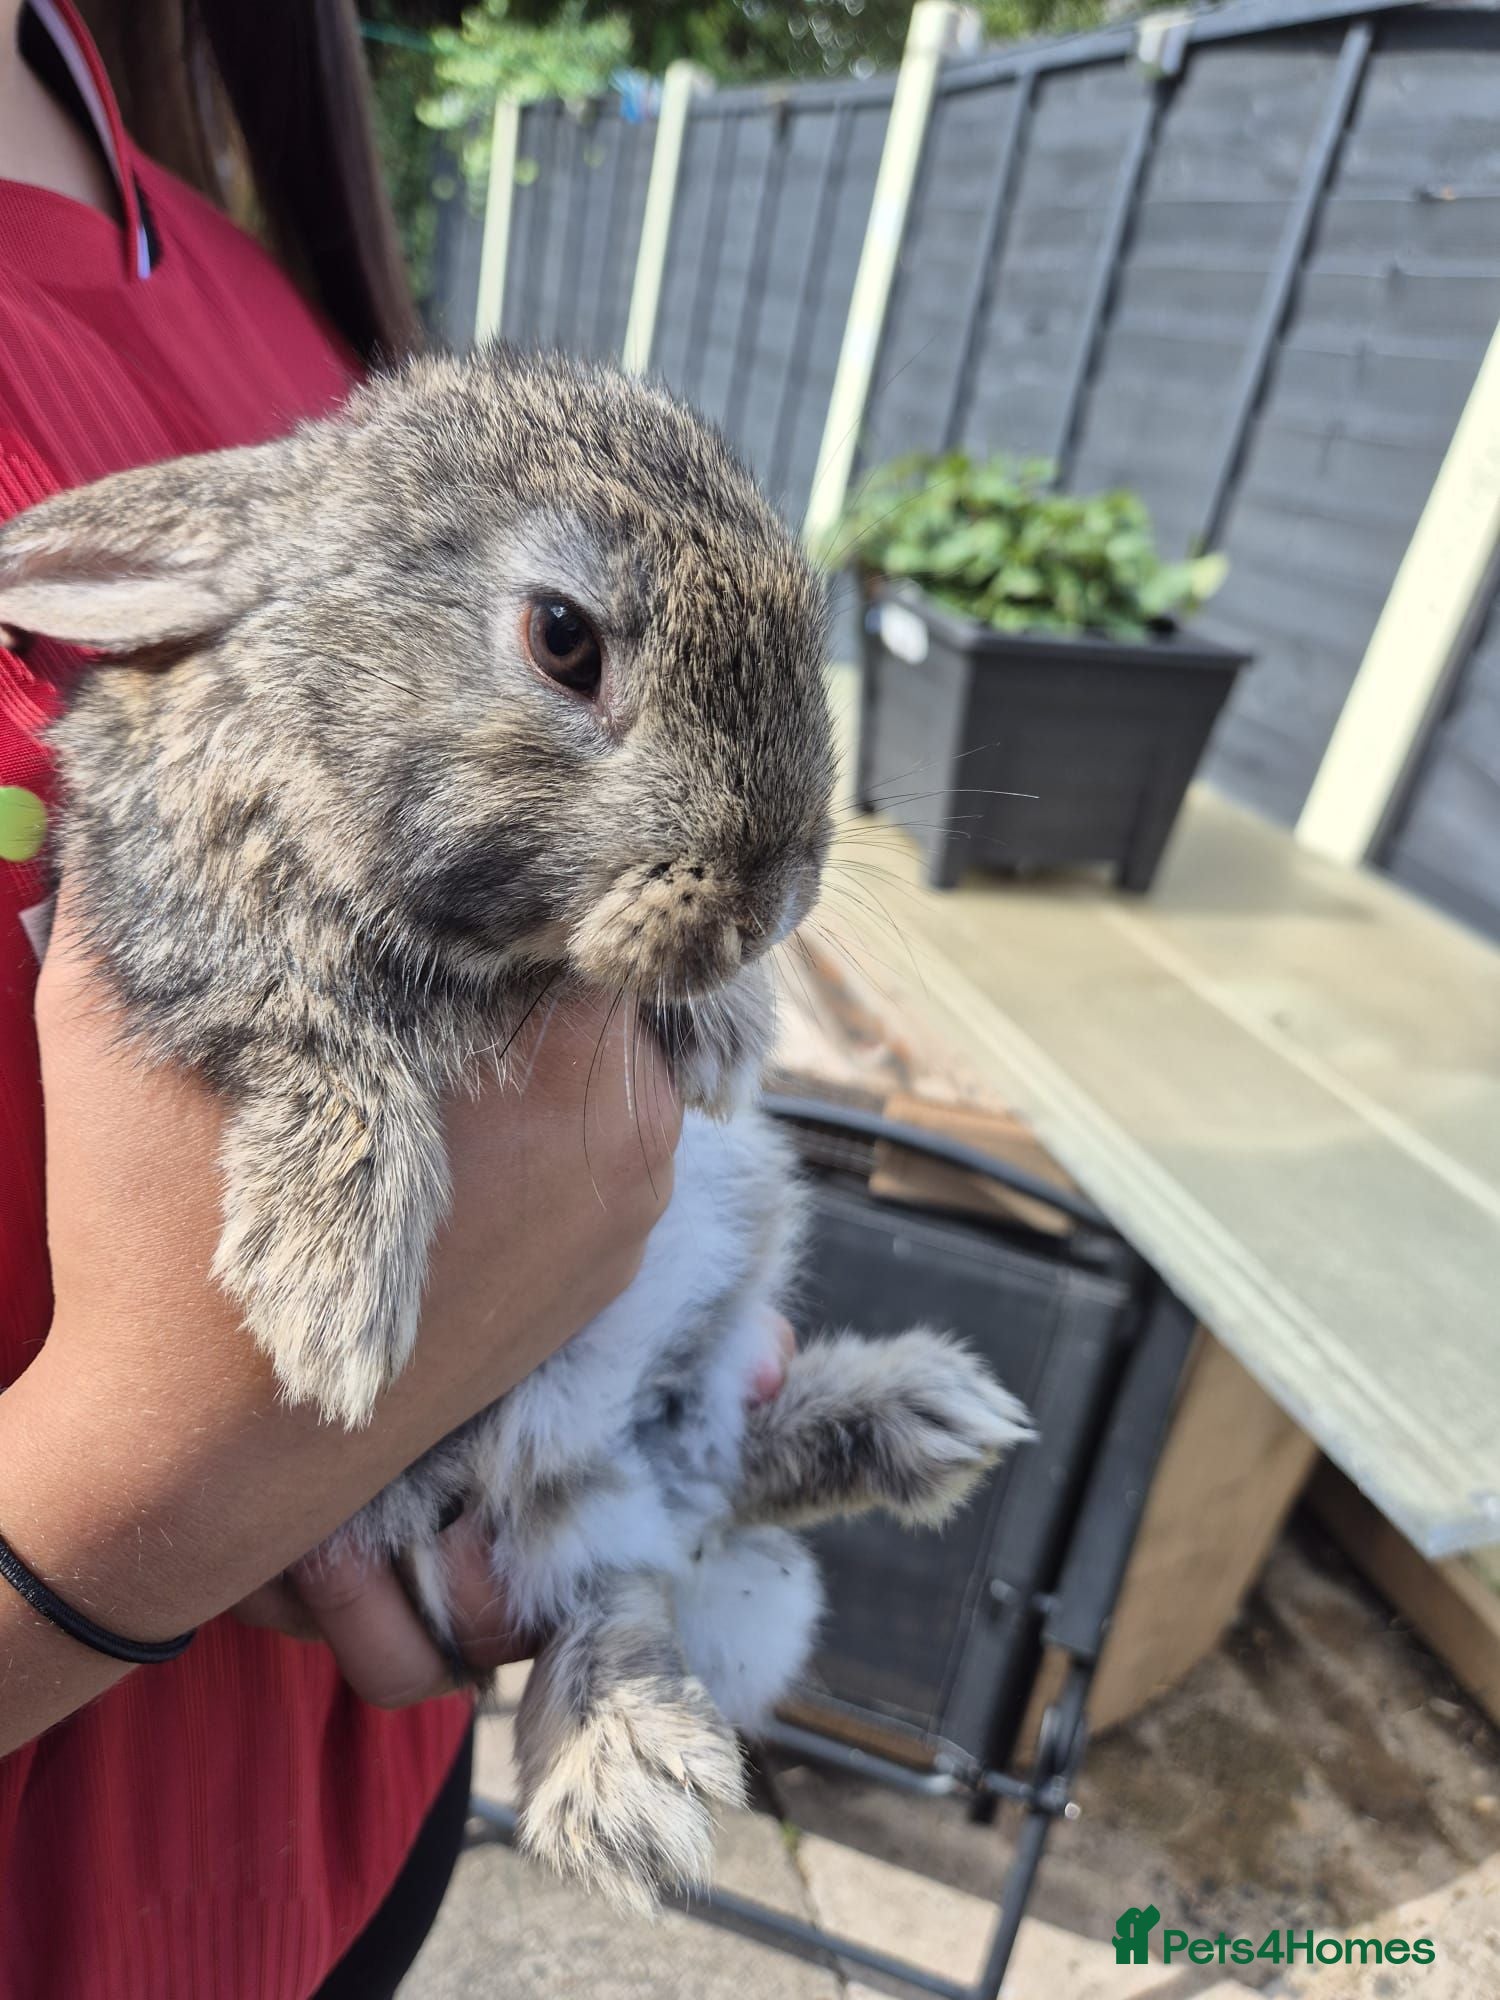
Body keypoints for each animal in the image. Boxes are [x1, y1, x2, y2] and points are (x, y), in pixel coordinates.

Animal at [0, 349, 1031, 1909]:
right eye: (561, 638)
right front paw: (333, 1310)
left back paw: (921, 1426)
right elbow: (310, 1034)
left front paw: (727, 1029)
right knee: (612, 1582)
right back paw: (635, 1780)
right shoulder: (182, 925)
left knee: (697, 1495)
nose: (773, 896)